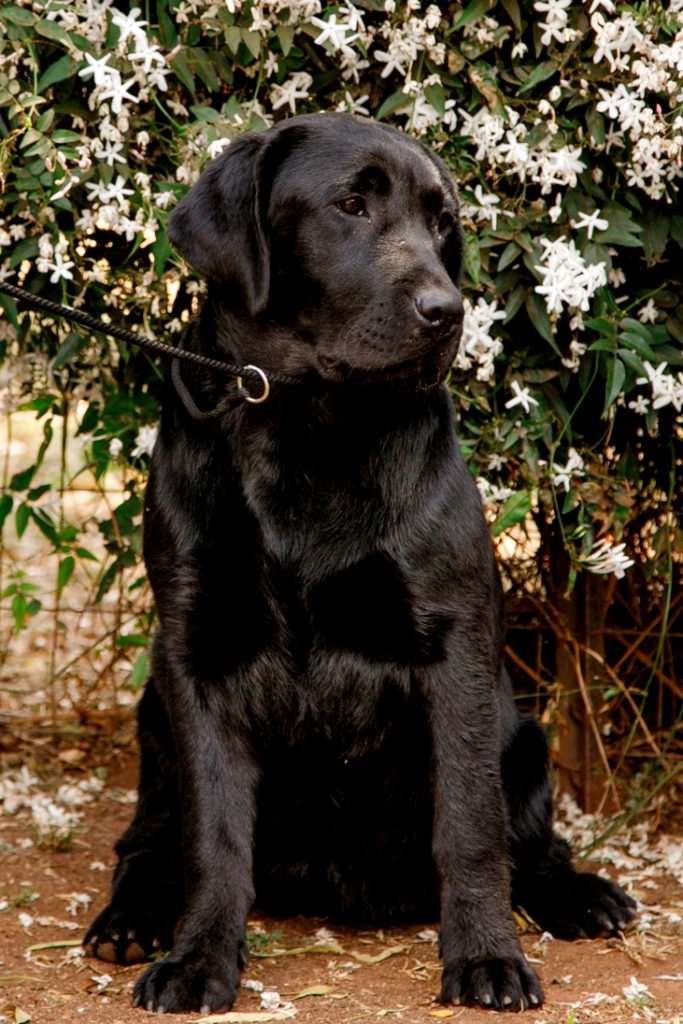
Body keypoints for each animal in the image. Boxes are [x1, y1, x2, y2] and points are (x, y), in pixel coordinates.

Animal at [84, 112, 635, 1013]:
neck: (310, 426)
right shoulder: (195, 655)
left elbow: (471, 828)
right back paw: (131, 917)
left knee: (529, 848)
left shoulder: (454, 641)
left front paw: (485, 957)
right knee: (143, 844)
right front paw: (198, 959)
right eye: (351, 205)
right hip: (153, 718)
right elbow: (213, 837)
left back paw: (579, 894)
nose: (447, 312)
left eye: (441, 222)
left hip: (522, 736)